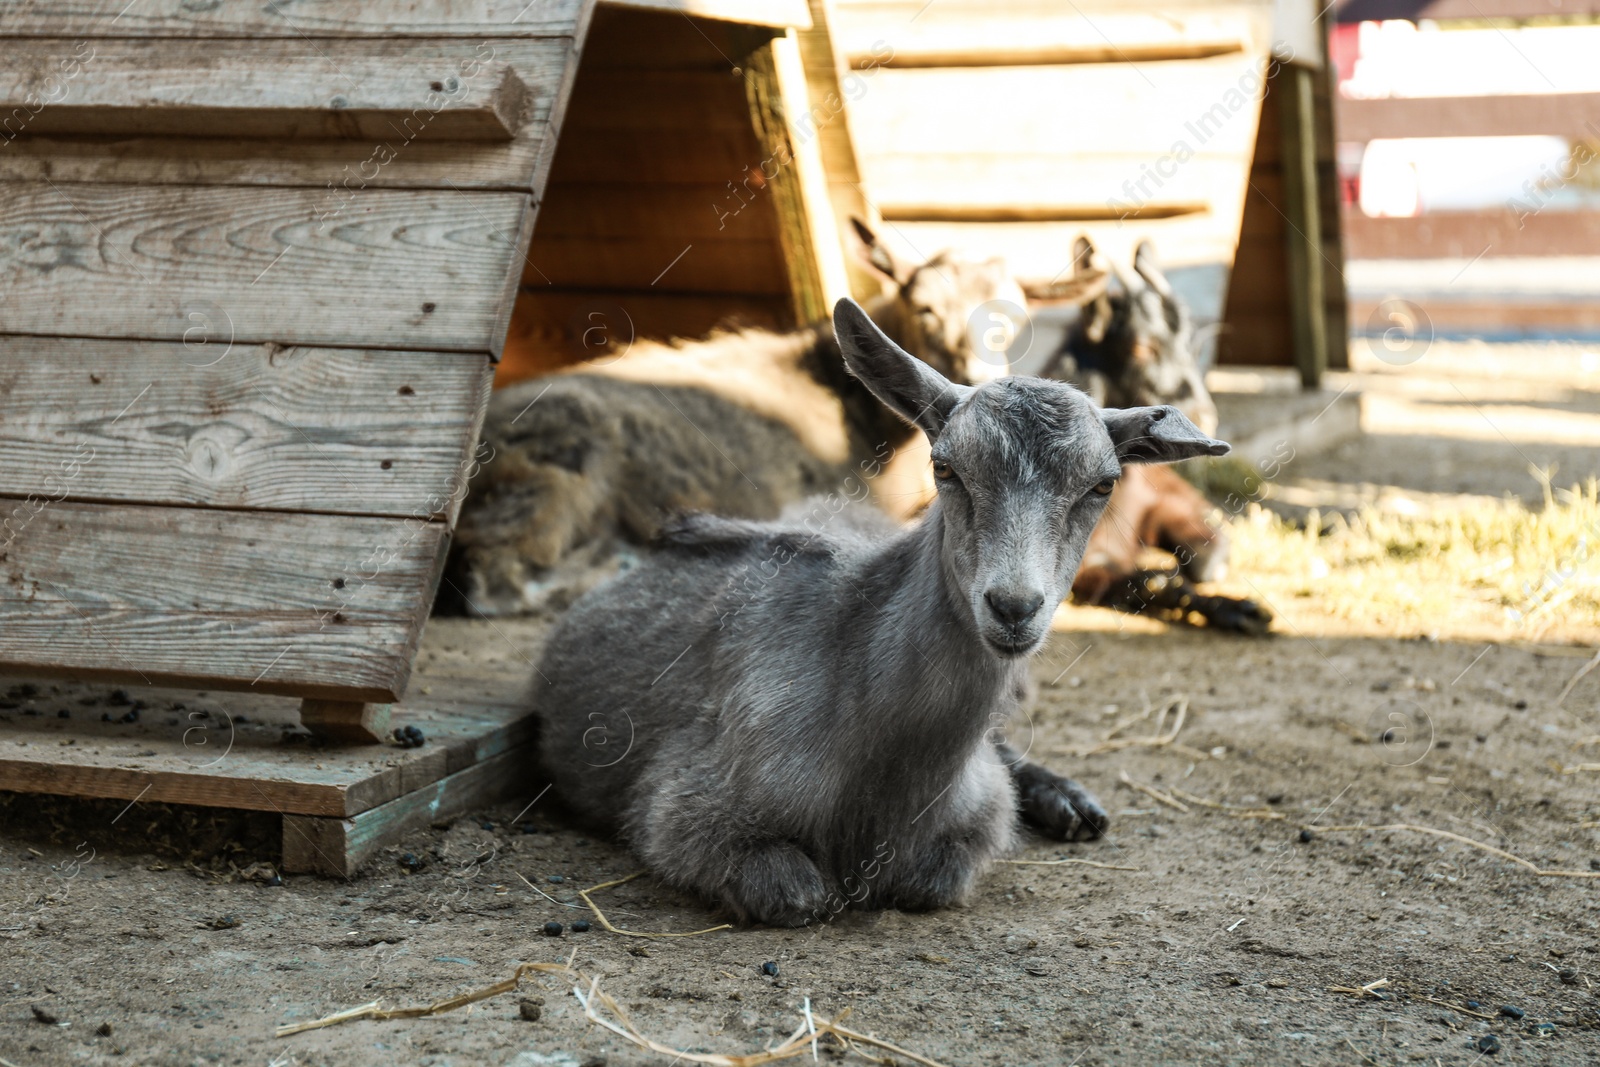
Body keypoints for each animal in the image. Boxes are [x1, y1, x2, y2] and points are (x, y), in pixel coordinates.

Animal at [531, 295, 1228, 921]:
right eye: (944, 467)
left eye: (1103, 484)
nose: (1013, 607)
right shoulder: (681, 808)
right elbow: (799, 895)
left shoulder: (974, 821)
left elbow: (932, 880)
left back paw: (1073, 802)